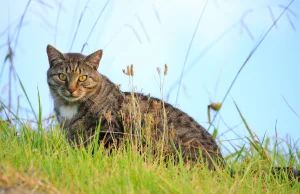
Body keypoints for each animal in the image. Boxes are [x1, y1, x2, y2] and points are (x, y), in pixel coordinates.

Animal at [45, 43, 300, 179]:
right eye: (62, 76)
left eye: (83, 78)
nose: (71, 88)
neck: (70, 108)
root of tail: (223, 166)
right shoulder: (73, 138)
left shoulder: (112, 134)